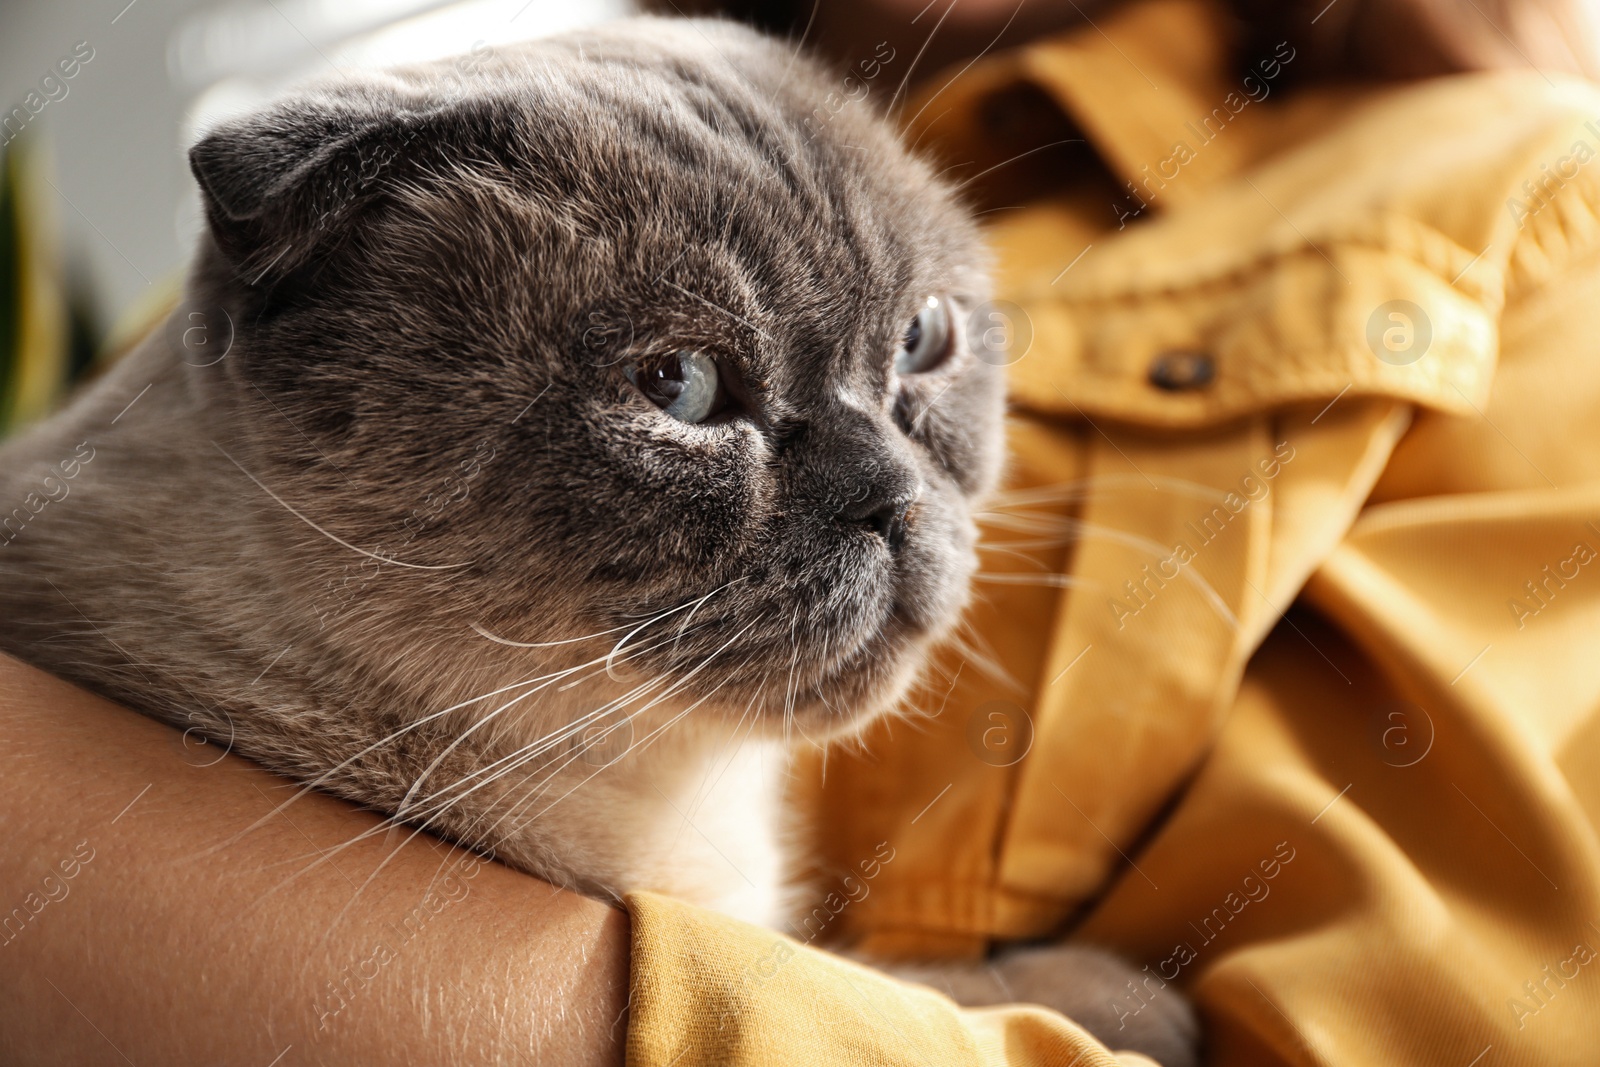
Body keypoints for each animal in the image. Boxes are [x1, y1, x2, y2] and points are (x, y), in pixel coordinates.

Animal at [0, 18, 1203, 1067]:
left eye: (920, 341)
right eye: (679, 387)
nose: (894, 499)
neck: (680, 804)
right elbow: (912, 990)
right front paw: (1140, 1004)